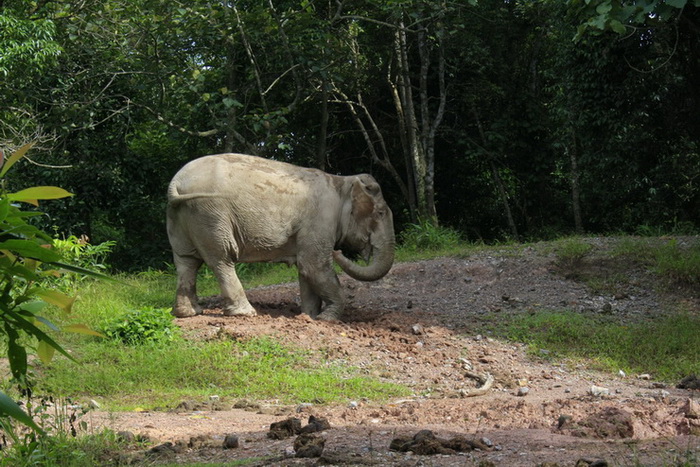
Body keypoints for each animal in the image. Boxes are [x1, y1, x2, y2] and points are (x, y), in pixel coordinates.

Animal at [164, 154, 394, 322]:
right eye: (381, 213)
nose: (338, 251)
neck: (342, 181)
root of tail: (176, 181)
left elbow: (306, 269)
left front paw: (309, 316)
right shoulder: (320, 220)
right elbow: (314, 265)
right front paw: (327, 319)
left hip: (181, 217)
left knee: (186, 262)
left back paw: (189, 313)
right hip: (210, 214)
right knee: (222, 260)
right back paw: (246, 313)